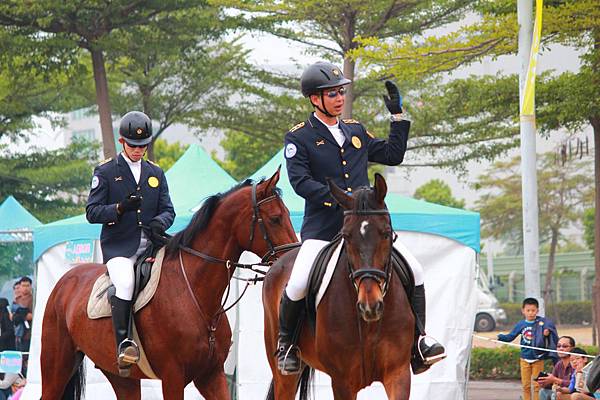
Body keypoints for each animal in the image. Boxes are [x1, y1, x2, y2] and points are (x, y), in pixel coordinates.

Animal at [41, 169, 298, 400]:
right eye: (275, 219)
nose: (292, 259)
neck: (195, 292)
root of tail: (65, 281)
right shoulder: (173, 376)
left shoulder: (211, 375)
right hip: (56, 370)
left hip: (121, 377)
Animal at [263, 173, 415, 400]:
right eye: (346, 236)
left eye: (386, 233)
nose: (370, 306)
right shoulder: (342, 382)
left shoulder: (398, 373)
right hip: (284, 374)